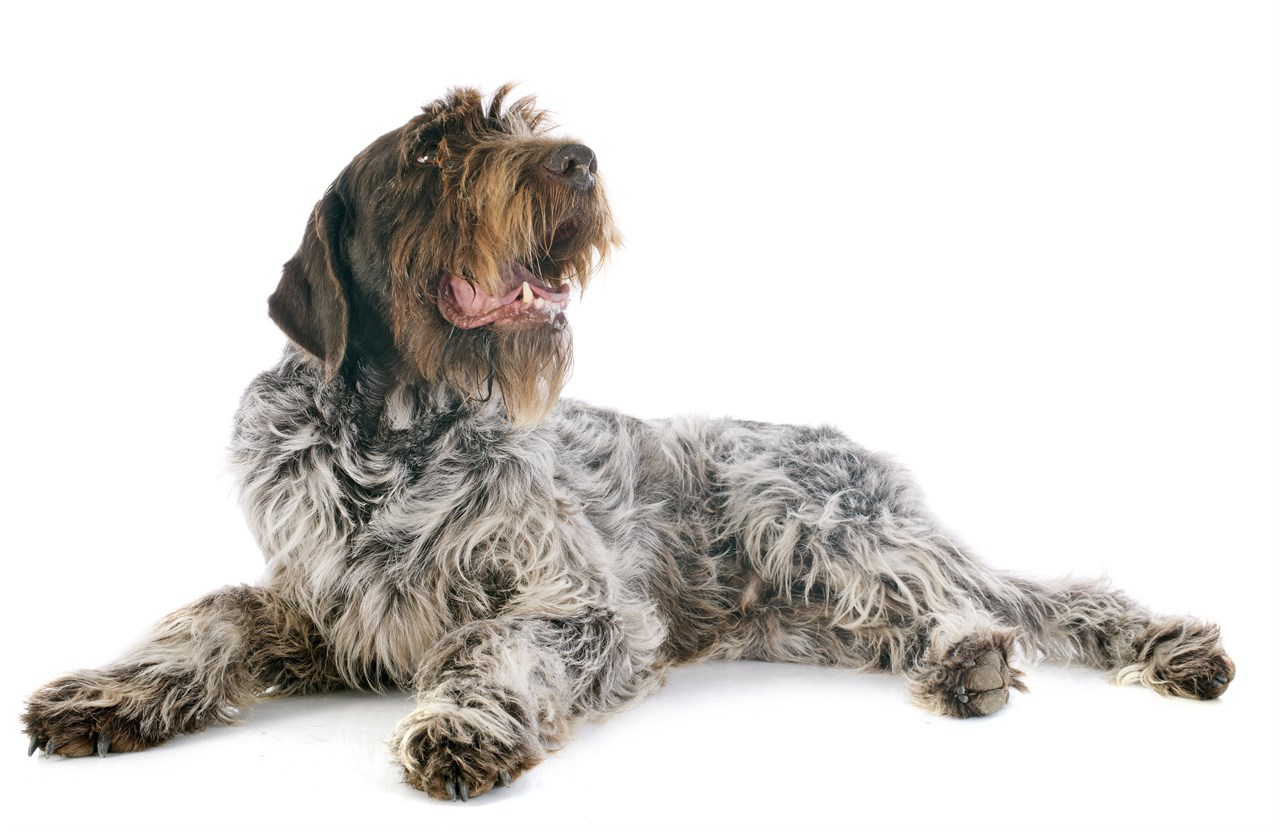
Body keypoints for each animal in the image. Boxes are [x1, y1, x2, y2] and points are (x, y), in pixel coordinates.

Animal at [24, 84, 1232, 802]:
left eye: (514, 123)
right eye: (431, 150)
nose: (579, 161)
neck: (393, 439)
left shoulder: (588, 608)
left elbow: (487, 643)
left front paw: (462, 721)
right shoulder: (325, 610)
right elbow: (211, 617)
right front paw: (111, 693)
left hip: (810, 514)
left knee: (1018, 599)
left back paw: (1014, 652)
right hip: (810, 612)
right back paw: (965, 664)